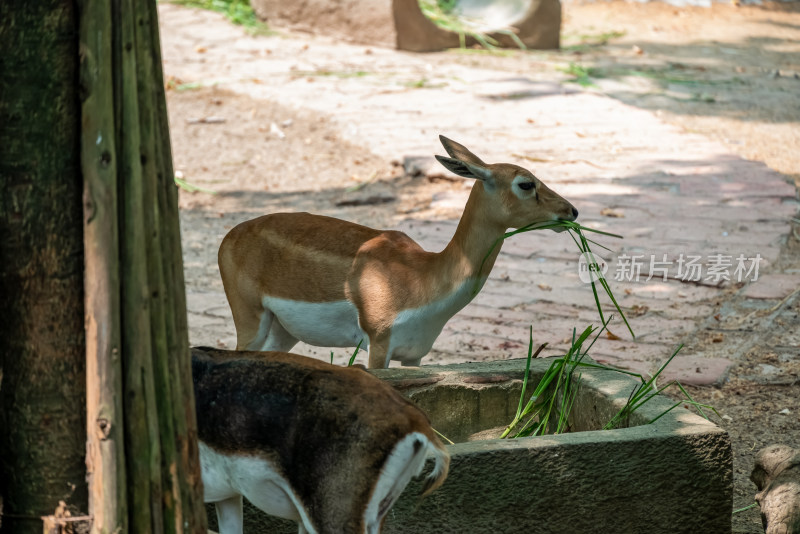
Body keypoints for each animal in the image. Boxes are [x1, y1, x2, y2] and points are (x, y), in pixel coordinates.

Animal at [219, 136, 576, 368]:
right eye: (526, 183)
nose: (571, 210)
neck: (424, 278)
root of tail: (231, 236)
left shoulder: (416, 353)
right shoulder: (378, 343)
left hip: (283, 330)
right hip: (249, 317)